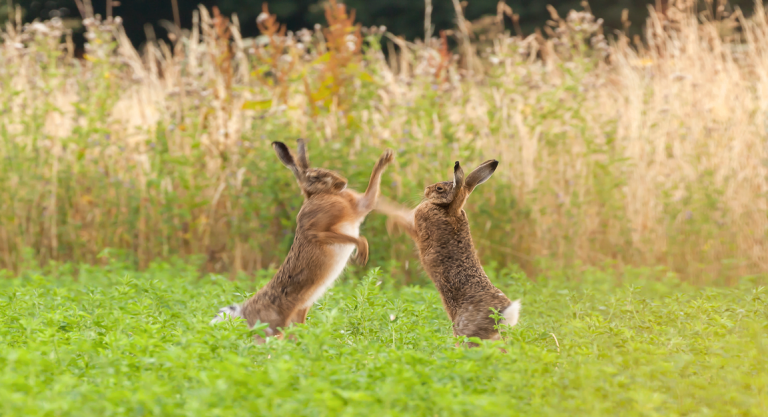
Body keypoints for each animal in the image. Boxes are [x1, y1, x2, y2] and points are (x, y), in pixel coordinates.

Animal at [211, 139, 395, 343]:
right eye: (315, 177)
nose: (343, 183)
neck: (320, 195)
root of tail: (244, 312)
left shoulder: (359, 206)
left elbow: (370, 194)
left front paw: (386, 157)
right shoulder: (317, 232)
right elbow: (353, 237)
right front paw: (362, 252)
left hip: (299, 314)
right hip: (274, 327)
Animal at [375, 159, 521, 347]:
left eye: (439, 188)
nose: (426, 189)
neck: (450, 209)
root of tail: (502, 315)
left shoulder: (417, 224)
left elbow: (397, 212)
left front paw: (382, 209)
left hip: (465, 331)